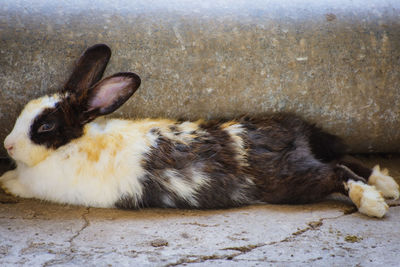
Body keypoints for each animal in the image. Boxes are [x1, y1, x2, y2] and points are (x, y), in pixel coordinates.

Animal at [0, 44, 398, 219]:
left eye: (45, 126)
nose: (8, 145)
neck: (72, 142)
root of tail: (296, 137)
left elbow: (17, 183)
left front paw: (4, 182)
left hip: (295, 181)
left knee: (336, 172)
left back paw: (374, 203)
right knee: (348, 159)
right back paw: (388, 185)